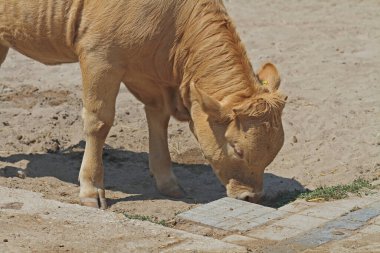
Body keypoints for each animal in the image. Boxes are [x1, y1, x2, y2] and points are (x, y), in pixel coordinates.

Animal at [0, 0, 286, 209]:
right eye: (237, 149)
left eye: (275, 150)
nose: (251, 197)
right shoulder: (100, 57)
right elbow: (99, 121)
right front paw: (91, 189)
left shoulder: (148, 73)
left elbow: (158, 119)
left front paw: (168, 182)